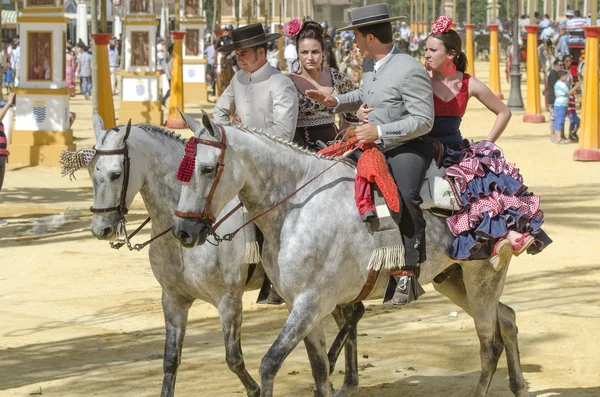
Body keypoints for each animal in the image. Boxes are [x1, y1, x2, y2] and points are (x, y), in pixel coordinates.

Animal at [171, 112, 528, 396]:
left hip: (481, 282)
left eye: (207, 169)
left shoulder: (311, 304)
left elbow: (270, 363)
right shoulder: (301, 308)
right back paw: (519, 385)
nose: (183, 231)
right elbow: (319, 371)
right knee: (508, 318)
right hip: (453, 281)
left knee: (489, 345)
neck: (297, 208)